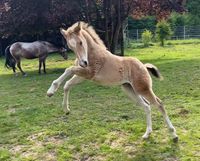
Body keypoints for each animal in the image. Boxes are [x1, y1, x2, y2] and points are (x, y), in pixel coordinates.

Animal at [46, 21, 178, 142]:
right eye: (70, 46)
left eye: (81, 42)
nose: (83, 62)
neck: (93, 54)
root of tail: (144, 66)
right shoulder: (83, 76)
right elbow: (67, 84)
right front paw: (64, 107)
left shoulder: (89, 73)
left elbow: (68, 69)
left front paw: (51, 91)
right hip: (130, 90)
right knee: (147, 106)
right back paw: (147, 134)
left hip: (143, 88)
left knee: (159, 104)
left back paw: (174, 135)